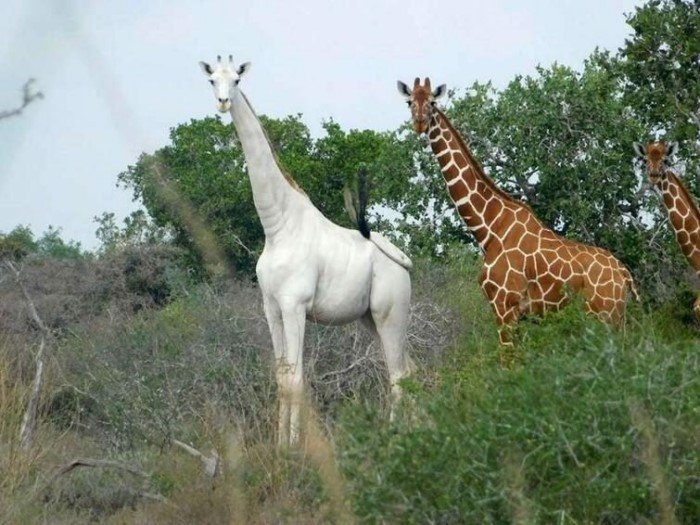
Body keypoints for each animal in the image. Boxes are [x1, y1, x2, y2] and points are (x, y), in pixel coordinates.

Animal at [200, 56, 412, 442]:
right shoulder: (271, 308)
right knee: (409, 370)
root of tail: (405, 262)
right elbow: (282, 378)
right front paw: (278, 444)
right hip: (369, 319)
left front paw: (293, 449)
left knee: (398, 375)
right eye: (212, 80)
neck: (277, 227)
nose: (223, 103)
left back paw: (397, 435)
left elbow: (297, 380)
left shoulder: (295, 305)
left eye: (237, 80)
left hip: (391, 312)